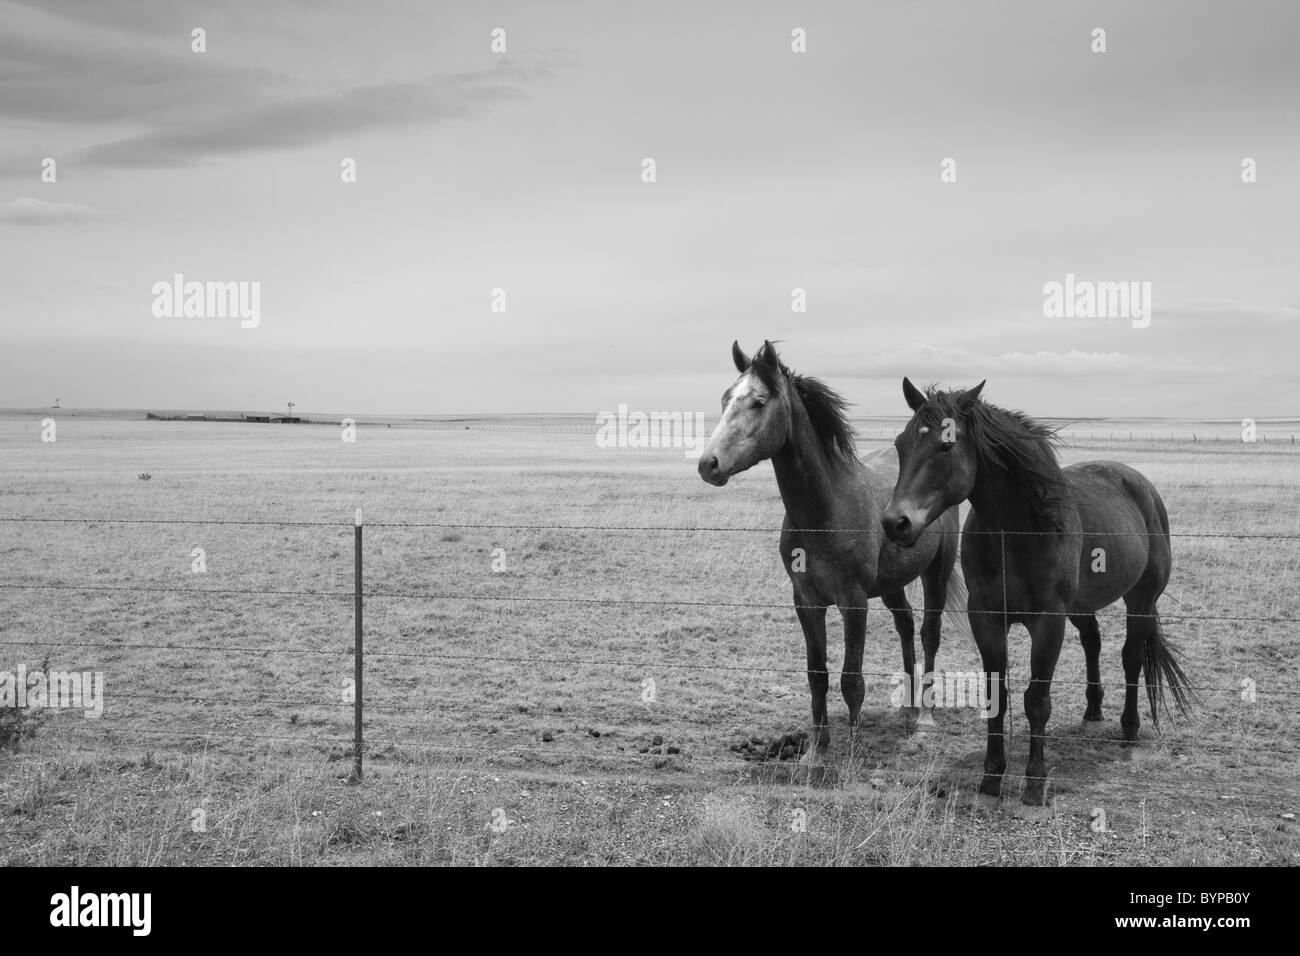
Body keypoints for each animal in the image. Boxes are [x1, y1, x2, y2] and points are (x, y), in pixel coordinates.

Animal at [702, 340, 967, 764]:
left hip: (936, 573)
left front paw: (854, 751)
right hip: (892, 584)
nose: (708, 464)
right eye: (726, 398)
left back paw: (924, 717)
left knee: (929, 633)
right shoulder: (807, 603)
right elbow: (818, 674)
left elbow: (851, 679)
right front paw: (816, 747)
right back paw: (908, 706)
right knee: (906, 625)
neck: (825, 510)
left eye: (758, 402)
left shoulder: (853, 603)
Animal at [878, 377, 1190, 806]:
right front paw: (991, 778)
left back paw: (1129, 730)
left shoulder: (1048, 622)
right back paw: (1093, 714)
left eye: (946, 446)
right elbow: (997, 695)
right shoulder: (987, 619)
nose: (896, 523)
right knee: (1093, 642)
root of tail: (1138, 483)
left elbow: (1037, 701)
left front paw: (1034, 782)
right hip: (1082, 606)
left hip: (1141, 600)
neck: (1016, 532)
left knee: (1131, 658)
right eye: (900, 444)